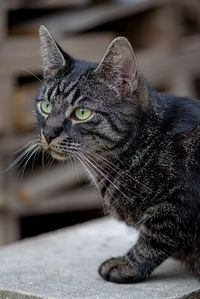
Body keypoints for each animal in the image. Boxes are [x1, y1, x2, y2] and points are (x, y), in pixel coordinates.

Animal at [34, 25, 200, 284]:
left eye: (82, 113)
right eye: (46, 106)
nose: (48, 133)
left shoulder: (181, 198)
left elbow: (156, 235)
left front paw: (127, 266)